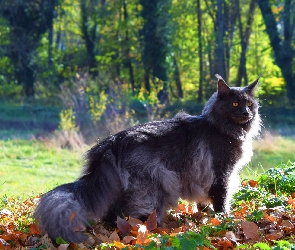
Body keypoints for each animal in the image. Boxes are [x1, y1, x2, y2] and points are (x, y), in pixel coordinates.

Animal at [34, 74, 262, 242]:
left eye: (250, 104)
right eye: (235, 104)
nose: (246, 113)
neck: (222, 128)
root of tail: (112, 142)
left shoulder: (205, 177)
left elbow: (203, 202)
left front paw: (203, 217)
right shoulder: (222, 173)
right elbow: (222, 201)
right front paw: (223, 219)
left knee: (112, 213)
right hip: (154, 185)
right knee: (132, 214)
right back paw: (150, 231)